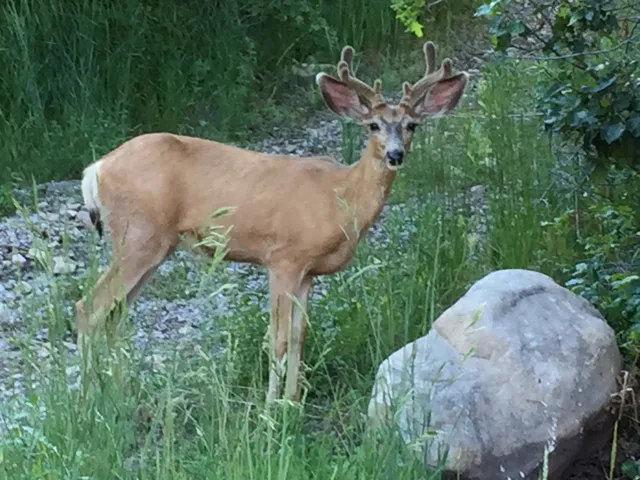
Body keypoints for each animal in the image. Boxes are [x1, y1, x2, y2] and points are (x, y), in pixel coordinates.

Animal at [75, 41, 469, 403]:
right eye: (373, 125)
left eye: (411, 125)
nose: (395, 154)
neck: (339, 199)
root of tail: (96, 169)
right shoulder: (283, 258)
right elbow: (276, 338)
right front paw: (269, 409)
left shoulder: (308, 272)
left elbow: (298, 336)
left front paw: (292, 402)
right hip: (138, 236)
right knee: (89, 308)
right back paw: (90, 400)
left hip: (152, 246)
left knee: (114, 315)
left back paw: (119, 393)